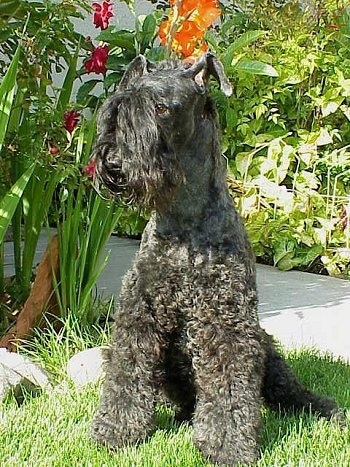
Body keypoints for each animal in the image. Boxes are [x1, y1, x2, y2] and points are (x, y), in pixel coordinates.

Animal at [89, 53, 344, 466]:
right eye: (116, 110)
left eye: (161, 109)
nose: (113, 163)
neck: (185, 225)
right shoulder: (141, 311)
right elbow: (127, 371)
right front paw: (116, 429)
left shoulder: (228, 319)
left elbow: (229, 384)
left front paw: (228, 446)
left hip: (265, 345)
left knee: (284, 389)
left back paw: (321, 408)